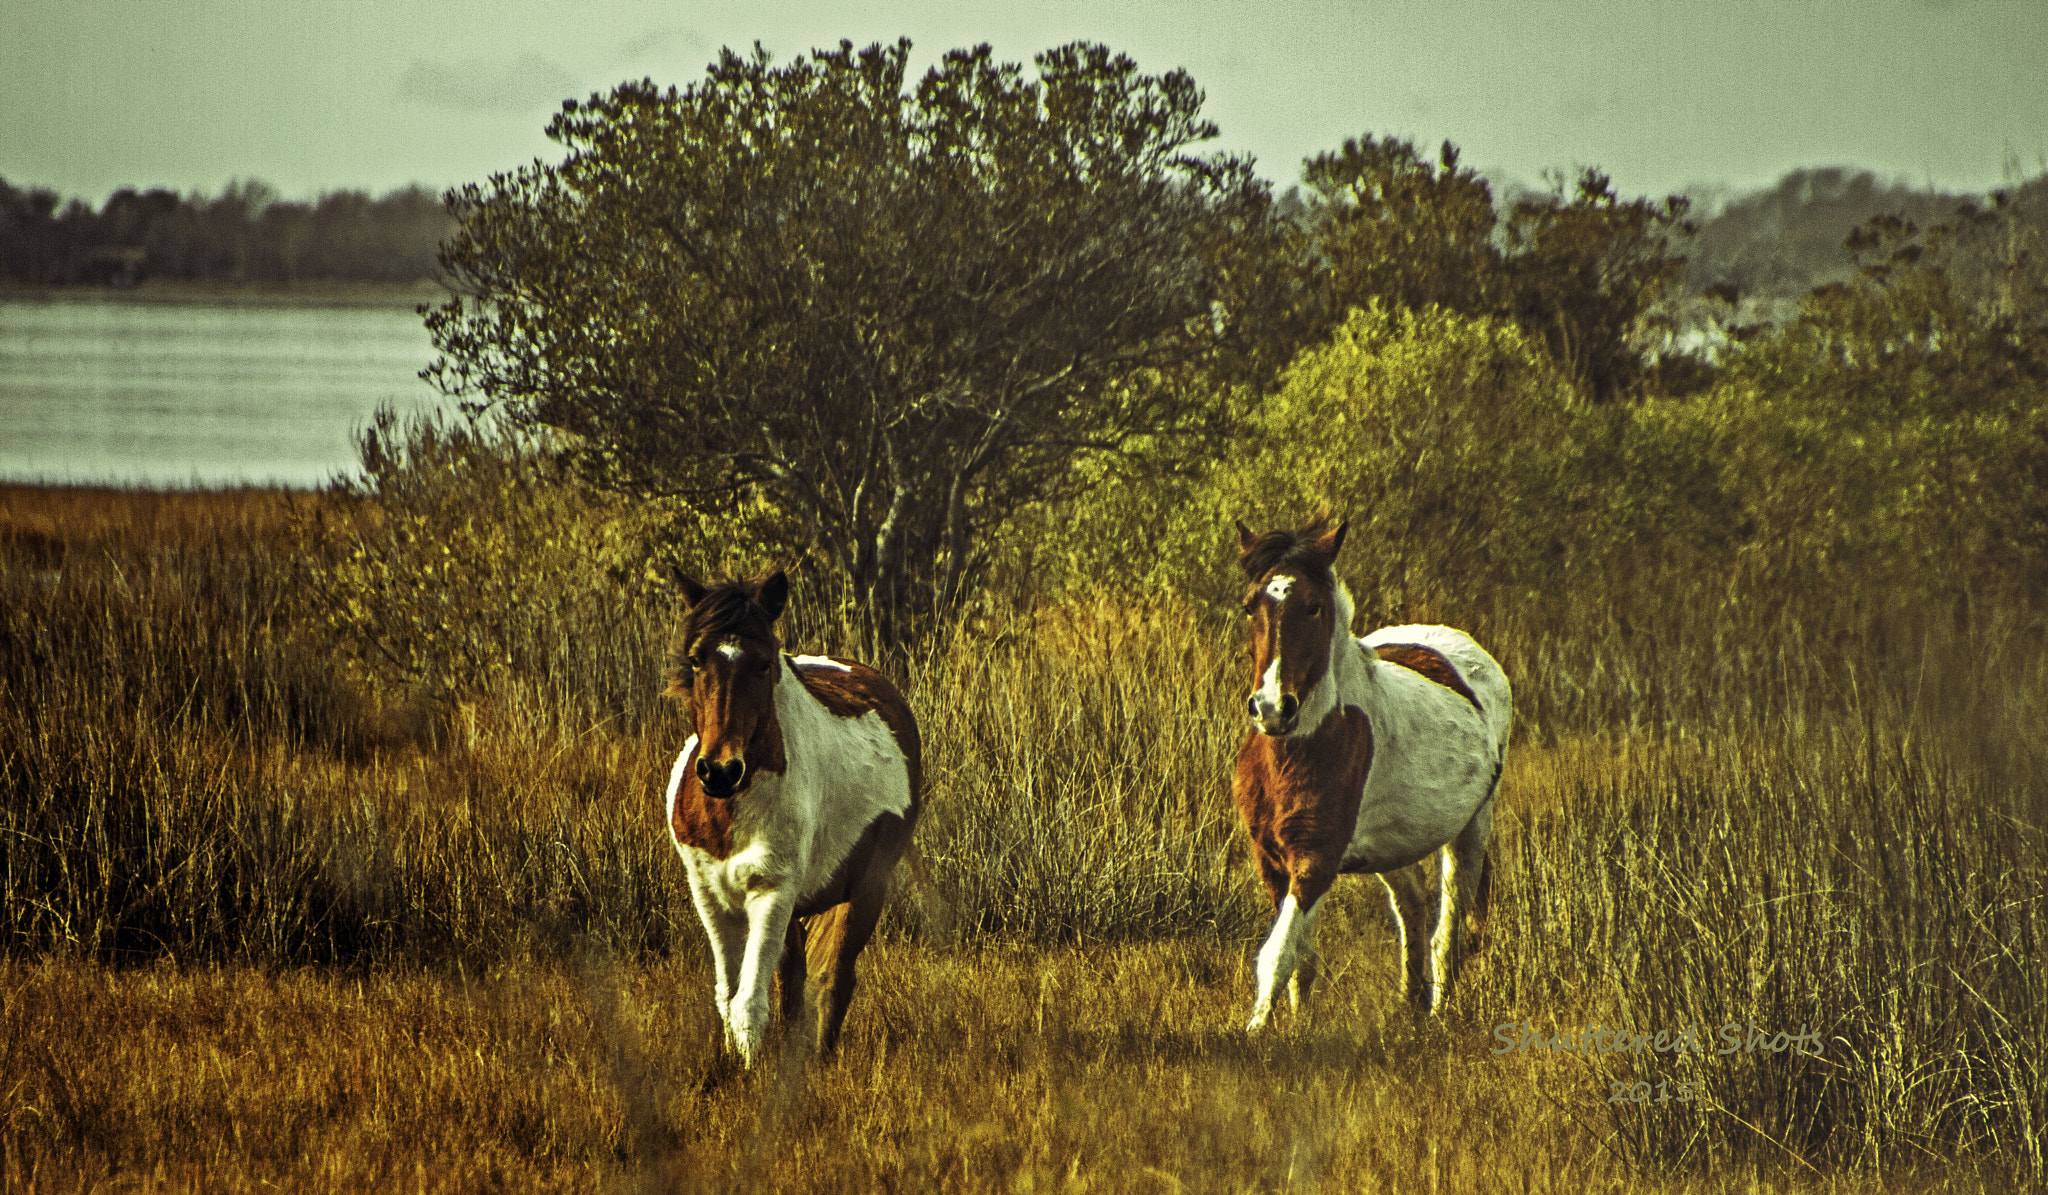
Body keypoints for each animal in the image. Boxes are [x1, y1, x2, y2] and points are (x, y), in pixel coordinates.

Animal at [660, 570, 921, 1065]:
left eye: (764, 664)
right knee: (794, 980)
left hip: (863, 891)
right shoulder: (709, 896)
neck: (731, 812)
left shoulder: (773, 892)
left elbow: (749, 1003)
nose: (720, 771)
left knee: (833, 979)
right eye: (696, 660)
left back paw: (818, 1059)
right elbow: (730, 995)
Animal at [1230, 518, 1511, 1030]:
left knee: (1448, 931)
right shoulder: (1272, 861)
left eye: (1313, 607)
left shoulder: (1315, 860)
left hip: (1471, 831)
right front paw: (1293, 1027)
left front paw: (1254, 1032)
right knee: (1412, 906)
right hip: (1393, 847)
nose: (1272, 708)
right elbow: (1299, 955)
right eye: (1249, 607)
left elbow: (1278, 954)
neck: (1299, 747)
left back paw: (1438, 1013)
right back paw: (1409, 1004)